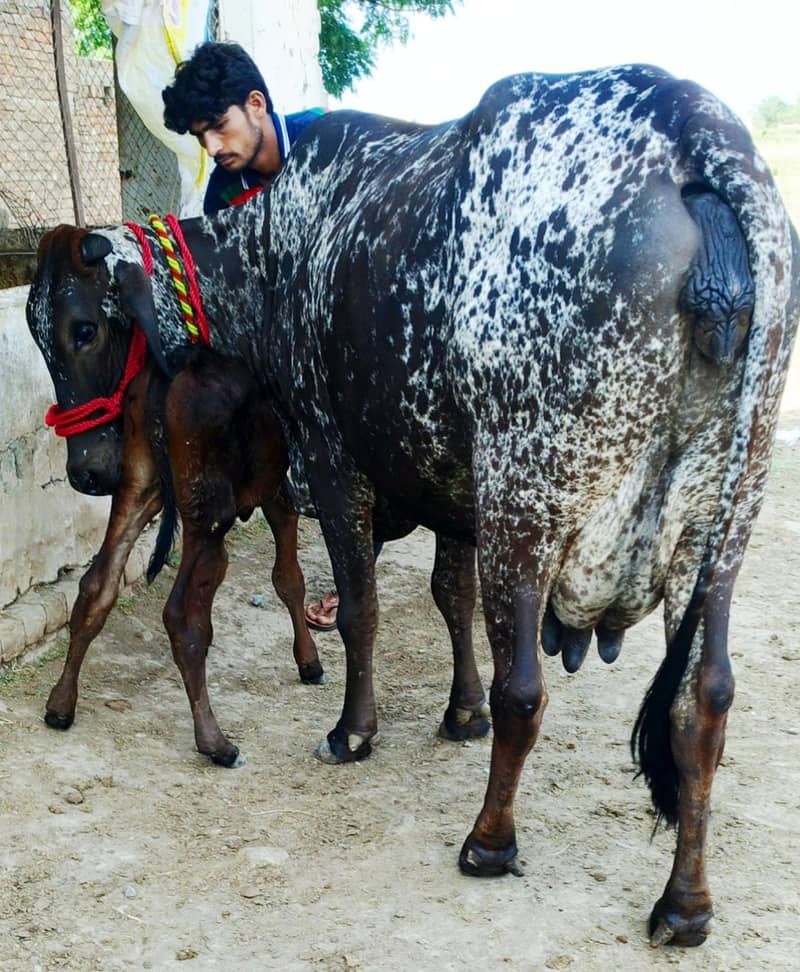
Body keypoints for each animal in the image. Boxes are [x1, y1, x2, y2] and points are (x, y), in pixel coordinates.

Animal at [29, 226, 490, 766]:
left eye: (85, 331)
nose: (85, 468)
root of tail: (175, 367)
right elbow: (420, 593)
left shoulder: (279, 496)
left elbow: (290, 578)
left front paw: (310, 661)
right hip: (208, 511)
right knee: (181, 616)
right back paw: (214, 740)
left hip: (143, 490)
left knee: (96, 587)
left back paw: (61, 704)